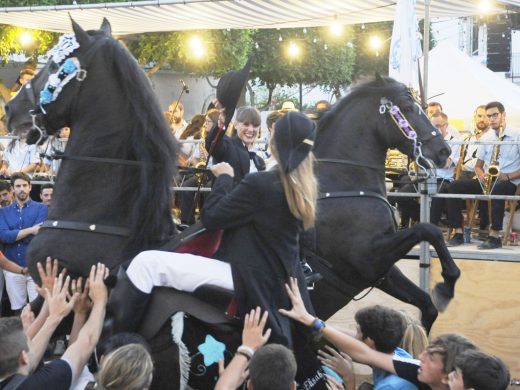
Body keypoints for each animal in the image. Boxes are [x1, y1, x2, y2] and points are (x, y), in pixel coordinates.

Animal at [308, 77, 460, 332]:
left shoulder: (382, 273)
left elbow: (427, 305)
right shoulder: (369, 258)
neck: (344, 184)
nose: (444, 151)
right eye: (408, 108)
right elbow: (428, 229)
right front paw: (447, 283)